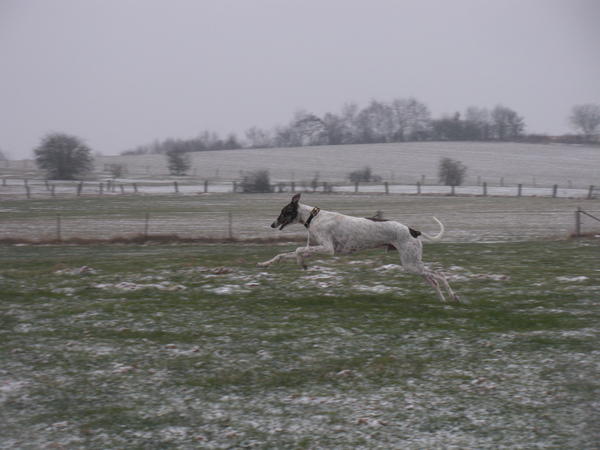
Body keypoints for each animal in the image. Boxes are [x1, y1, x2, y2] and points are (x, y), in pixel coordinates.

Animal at [258, 193, 460, 302]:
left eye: (284, 212)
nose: (272, 224)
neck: (313, 217)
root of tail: (413, 230)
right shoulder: (314, 248)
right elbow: (283, 254)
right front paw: (265, 264)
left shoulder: (328, 249)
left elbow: (298, 251)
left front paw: (302, 264)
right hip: (413, 264)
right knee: (433, 279)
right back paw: (442, 300)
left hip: (411, 263)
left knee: (440, 275)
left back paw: (453, 296)